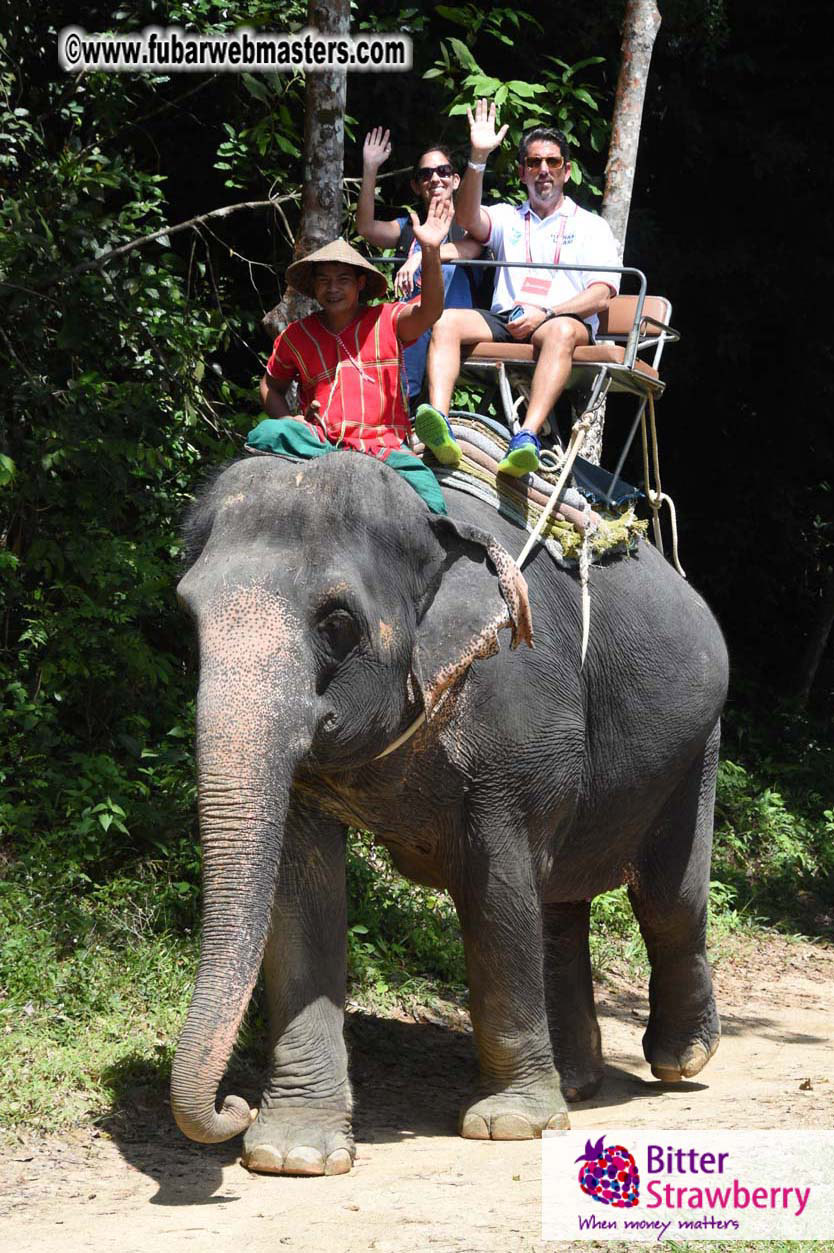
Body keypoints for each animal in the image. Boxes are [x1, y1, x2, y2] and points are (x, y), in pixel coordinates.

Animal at [170, 447, 728, 1177]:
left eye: (337, 623)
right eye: (189, 617)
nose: (229, 1104)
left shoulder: (516, 707)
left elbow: (497, 889)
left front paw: (508, 1125)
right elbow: (302, 894)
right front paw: (292, 1154)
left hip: (697, 745)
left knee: (667, 899)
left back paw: (681, 1060)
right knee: (558, 904)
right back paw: (577, 1085)